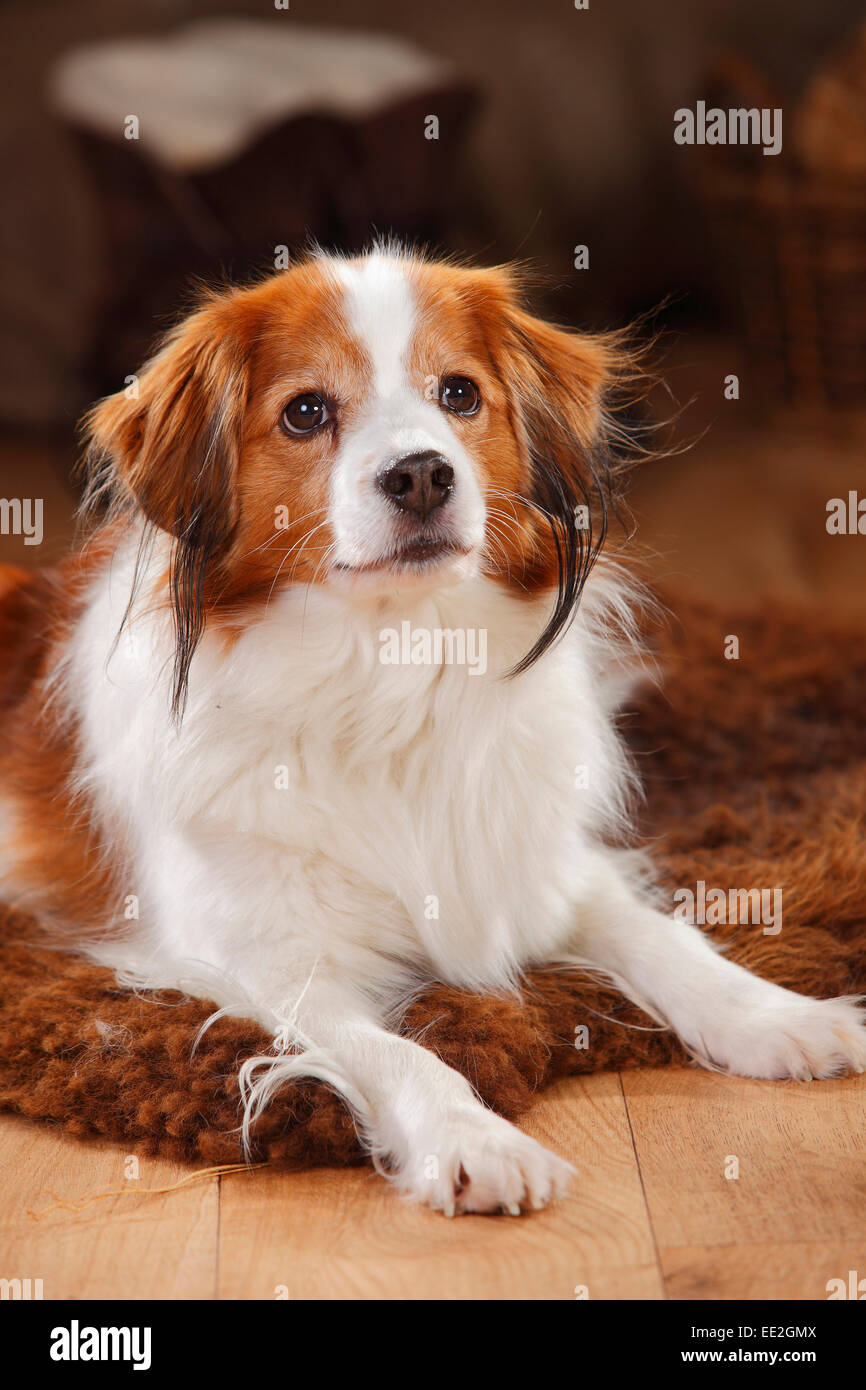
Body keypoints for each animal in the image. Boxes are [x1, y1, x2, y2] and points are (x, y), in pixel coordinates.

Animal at [1, 250, 866, 1217]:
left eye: (459, 393)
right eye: (306, 411)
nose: (422, 473)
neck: (393, 667)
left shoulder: (539, 868)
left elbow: (663, 935)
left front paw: (777, 1016)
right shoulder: (265, 960)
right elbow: (399, 1051)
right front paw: (474, 1139)